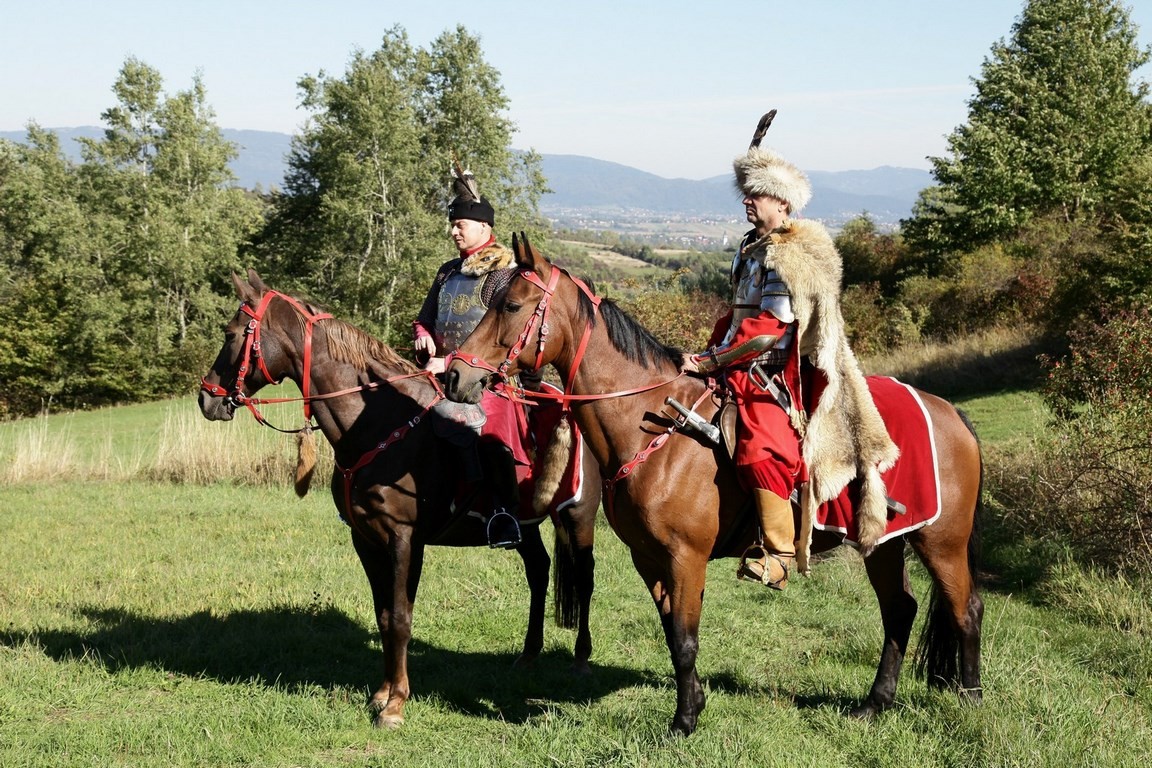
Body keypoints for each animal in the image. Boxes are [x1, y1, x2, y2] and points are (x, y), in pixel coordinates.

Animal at [198, 269, 601, 729]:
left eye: (230, 334)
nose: (206, 397)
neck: (376, 424)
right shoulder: (366, 539)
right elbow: (385, 615)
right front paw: (382, 693)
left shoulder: (405, 538)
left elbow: (402, 618)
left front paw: (395, 705)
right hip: (525, 525)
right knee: (538, 571)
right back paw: (528, 654)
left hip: (578, 516)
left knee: (584, 579)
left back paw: (581, 659)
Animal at [445, 236, 983, 736]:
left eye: (511, 306)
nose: (455, 375)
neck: (651, 423)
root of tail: (949, 413)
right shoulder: (649, 557)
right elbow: (672, 633)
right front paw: (696, 702)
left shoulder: (686, 556)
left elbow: (685, 639)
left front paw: (683, 721)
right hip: (884, 543)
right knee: (900, 610)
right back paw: (875, 704)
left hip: (941, 541)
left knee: (966, 608)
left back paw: (970, 700)